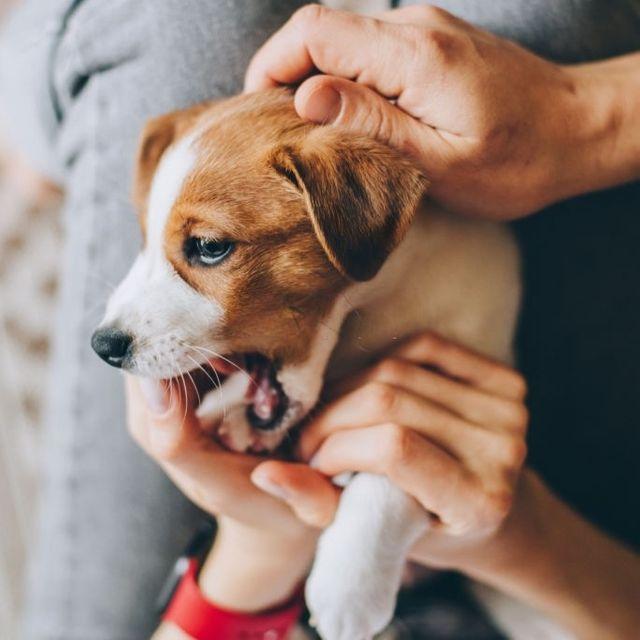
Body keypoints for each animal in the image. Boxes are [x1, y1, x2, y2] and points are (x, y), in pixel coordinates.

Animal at [91, 90, 524, 640]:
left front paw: (350, 587)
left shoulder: (456, 379)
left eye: (209, 247)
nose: (103, 346)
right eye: (145, 238)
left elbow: (390, 478)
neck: (379, 309)